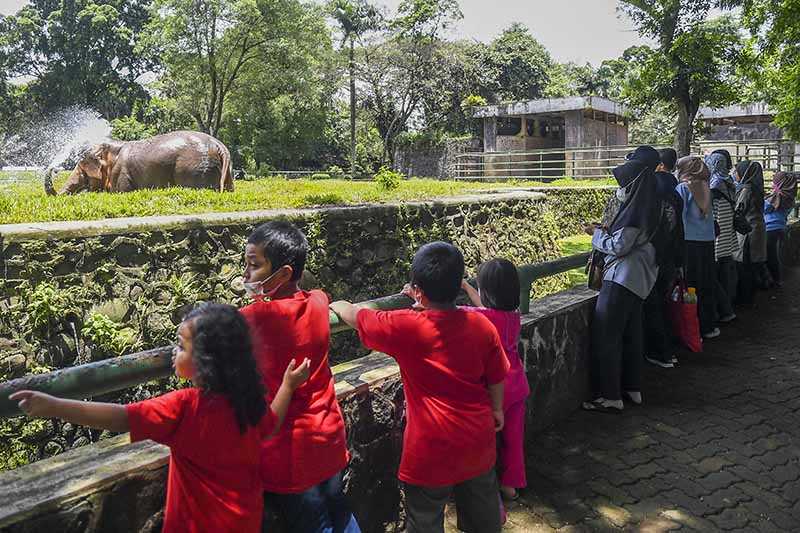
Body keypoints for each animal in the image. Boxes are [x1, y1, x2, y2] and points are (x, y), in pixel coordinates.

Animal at [43, 131, 233, 195]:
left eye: (82, 171)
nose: (55, 168)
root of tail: (219, 145)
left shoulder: (121, 173)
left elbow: (121, 191)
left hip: (193, 169)